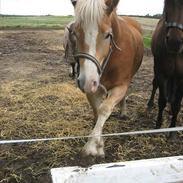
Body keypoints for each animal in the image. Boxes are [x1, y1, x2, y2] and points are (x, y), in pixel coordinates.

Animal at [69, 0, 143, 157]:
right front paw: (99, 143)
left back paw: (123, 112)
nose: (86, 81)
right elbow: (97, 110)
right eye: (75, 33)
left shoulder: (120, 86)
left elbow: (104, 109)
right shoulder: (93, 88)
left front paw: (92, 146)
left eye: (108, 35)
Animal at [147, 0, 183, 130]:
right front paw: (158, 123)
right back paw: (150, 103)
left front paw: (172, 129)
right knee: (155, 84)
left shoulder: (181, 77)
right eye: (167, 2)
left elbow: (177, 104)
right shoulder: (161, 72)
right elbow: (162, 100)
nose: (174, 42)